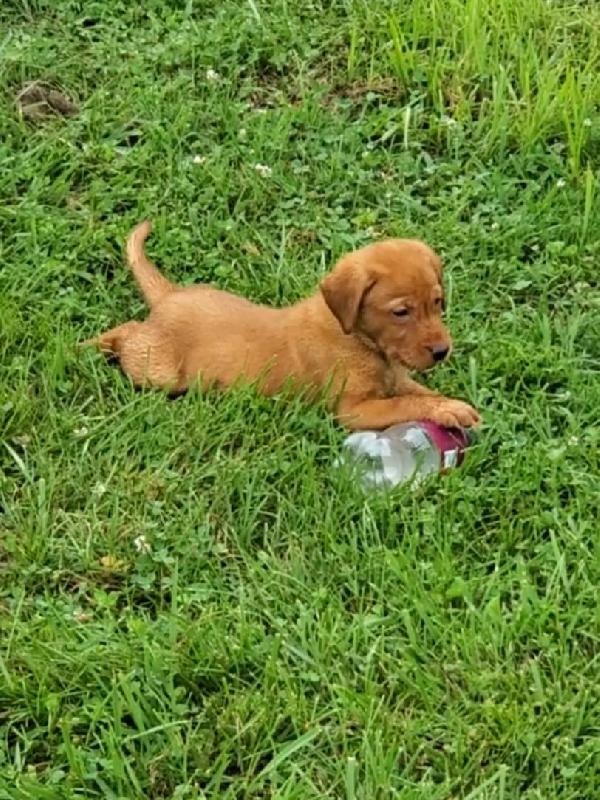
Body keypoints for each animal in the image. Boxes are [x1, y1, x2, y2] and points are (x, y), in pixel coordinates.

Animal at [86, 219, 480, 432]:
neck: (358, 339)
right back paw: (87, 346)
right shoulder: (353, 409)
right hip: (159, 370)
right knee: (128, 333)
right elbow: (405, 405)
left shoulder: (397, 379)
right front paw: (448, 410)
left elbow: (418, 392)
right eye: (401, 312)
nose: (442, 351)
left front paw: (448, 402)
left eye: (437, 302)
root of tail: (170, 295)